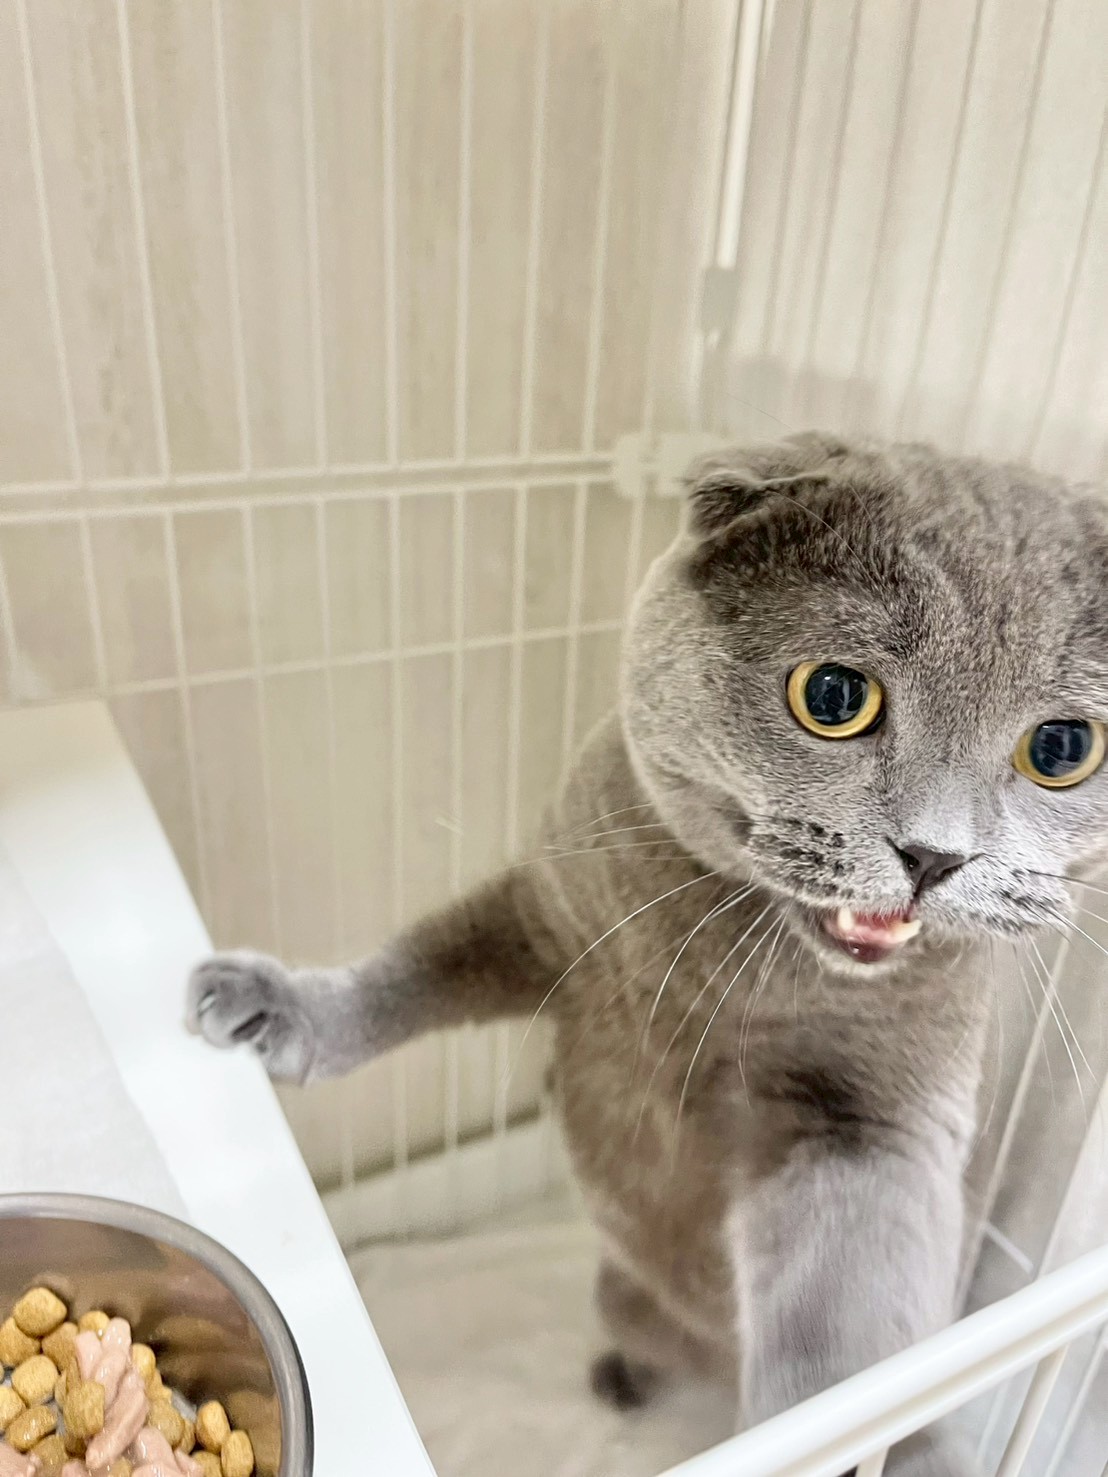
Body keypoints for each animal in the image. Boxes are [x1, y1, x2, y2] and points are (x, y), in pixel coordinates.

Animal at [187, 433, 1108, 1476]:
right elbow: (415, 967)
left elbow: (838, 1322)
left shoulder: (868, 1117)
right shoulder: (545, 913)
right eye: (834, 696)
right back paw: (624, 1375)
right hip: (618, 1288)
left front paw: (808, 1434)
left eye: (1062, 748)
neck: (727, 970)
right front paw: (274, 1006)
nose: (935, 854)